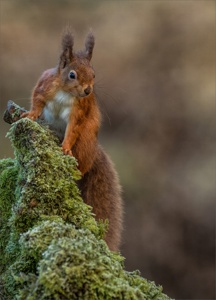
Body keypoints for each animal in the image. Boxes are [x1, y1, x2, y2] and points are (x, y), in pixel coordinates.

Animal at [22, 29, 124, 251]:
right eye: (72, 74)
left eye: (94, 74)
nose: (87, 90)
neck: (64, 92)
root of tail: (93, 153)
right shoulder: (43, 87)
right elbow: (36, 102)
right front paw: (30, 115)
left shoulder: (79, 111)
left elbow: (72, 130)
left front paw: (66, 147)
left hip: (85, 141)